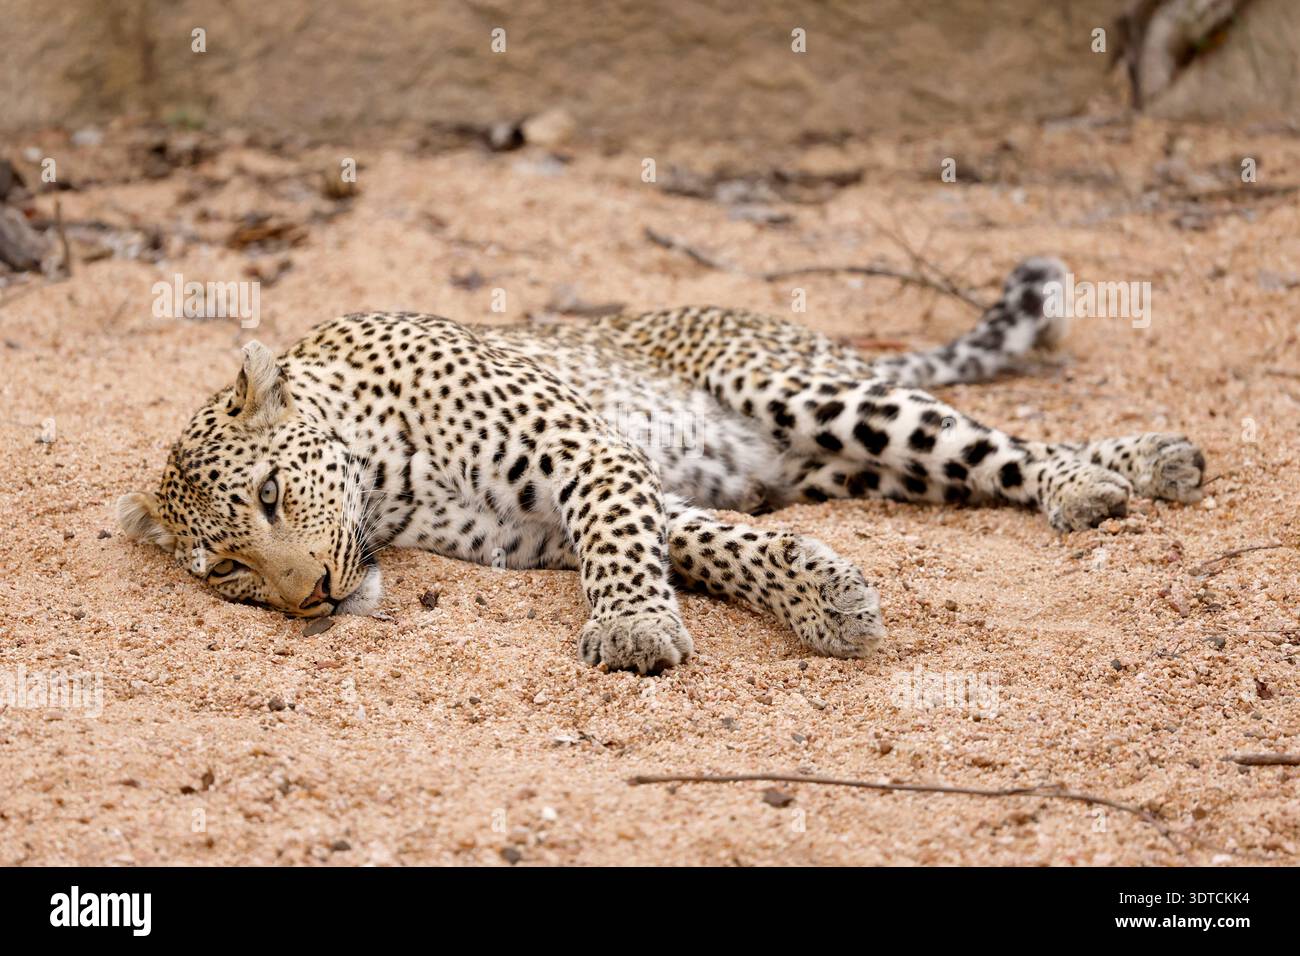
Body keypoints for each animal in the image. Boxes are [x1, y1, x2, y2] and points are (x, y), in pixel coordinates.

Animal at [118, 257, 1205, 673]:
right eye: (228, 573)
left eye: (268, 494)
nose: (308, 596)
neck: (386, 481)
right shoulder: (586, 513)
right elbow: (717, 545)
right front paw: (823, 600)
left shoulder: (585, 455)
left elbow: (620, 548)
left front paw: (635, 628)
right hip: (841, 467)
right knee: (963, 457)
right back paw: (1141, 461)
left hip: (800, 388)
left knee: (995, 440)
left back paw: (1107, 476)